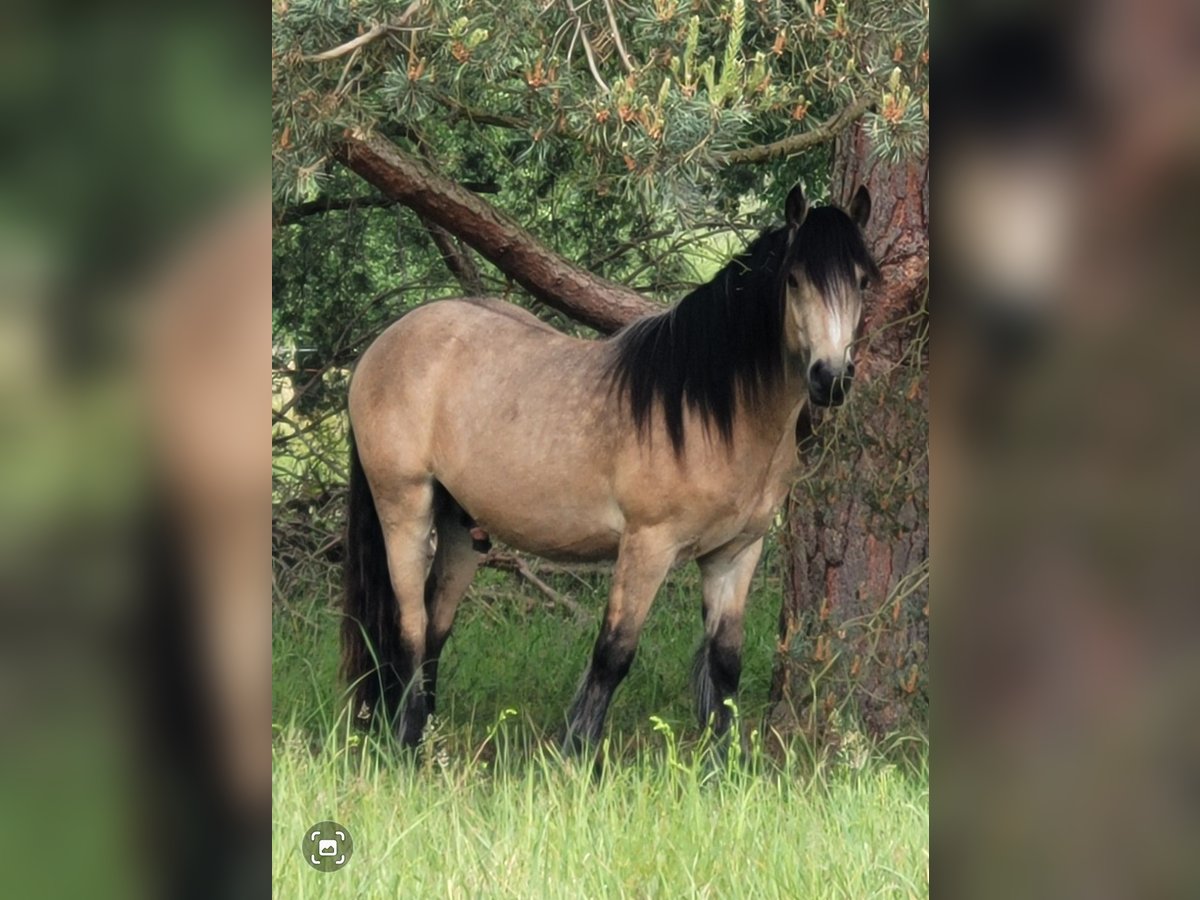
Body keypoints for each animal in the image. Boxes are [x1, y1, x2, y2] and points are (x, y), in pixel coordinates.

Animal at [341, 183, 877, 751]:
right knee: (409, 628)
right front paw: (573, 753)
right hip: (405, 508)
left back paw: (427, 741)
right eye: (794, 279)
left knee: (435, 628)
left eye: (863, 280)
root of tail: (384, 345)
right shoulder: (647, 545)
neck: (714, 413)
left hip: (462, 527)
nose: (831, 378)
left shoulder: (735, 554)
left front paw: (723, 761)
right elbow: (613, 654)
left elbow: (725, 663)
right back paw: (405, 743)